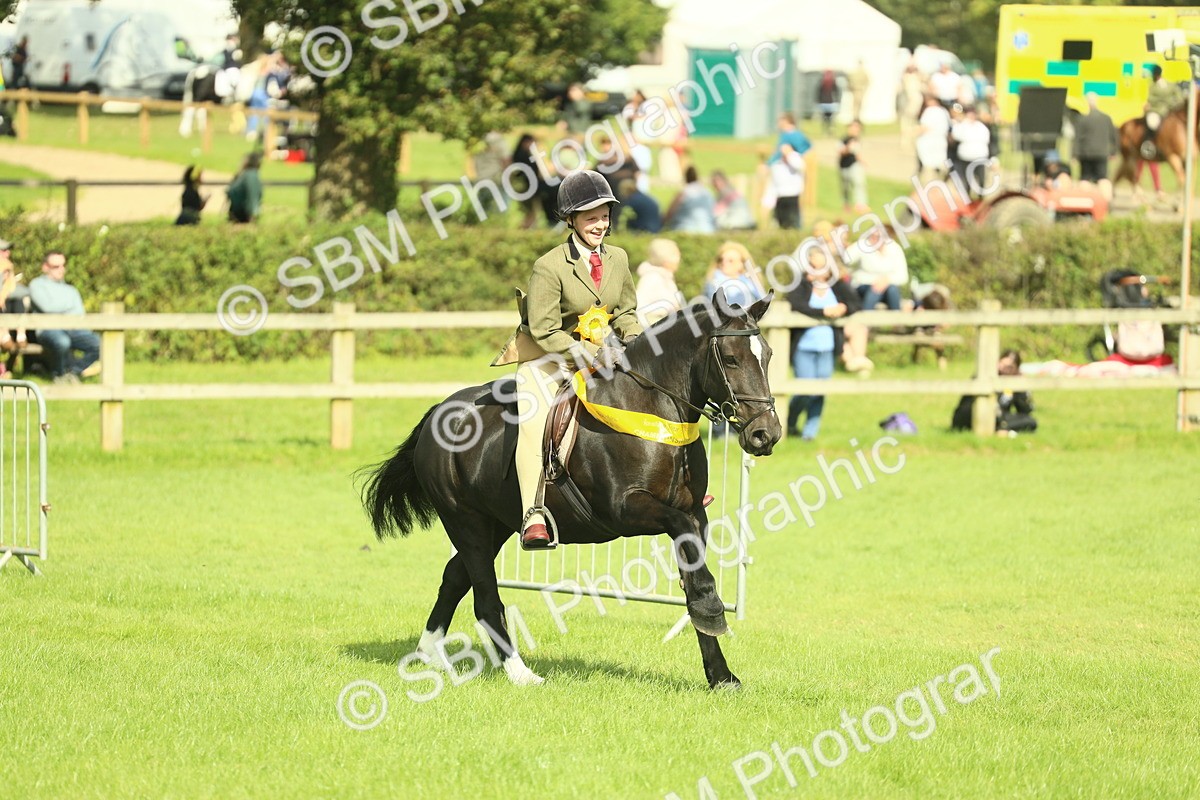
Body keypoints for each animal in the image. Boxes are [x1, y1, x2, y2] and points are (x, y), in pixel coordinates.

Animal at [360, 291, 782, 690]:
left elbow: (691, 573)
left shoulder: (696, 512)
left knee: (453, 580)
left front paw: (720, 674)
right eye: (731, 359)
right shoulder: (627, 510)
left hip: (495, 524)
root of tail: (440, 410)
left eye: (768, 356)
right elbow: (688, 554)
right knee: (484, 597)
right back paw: (520, 674)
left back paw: (427, 657)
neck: (652, 409)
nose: (766, 434)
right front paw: (712, 612)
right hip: (466, 522)